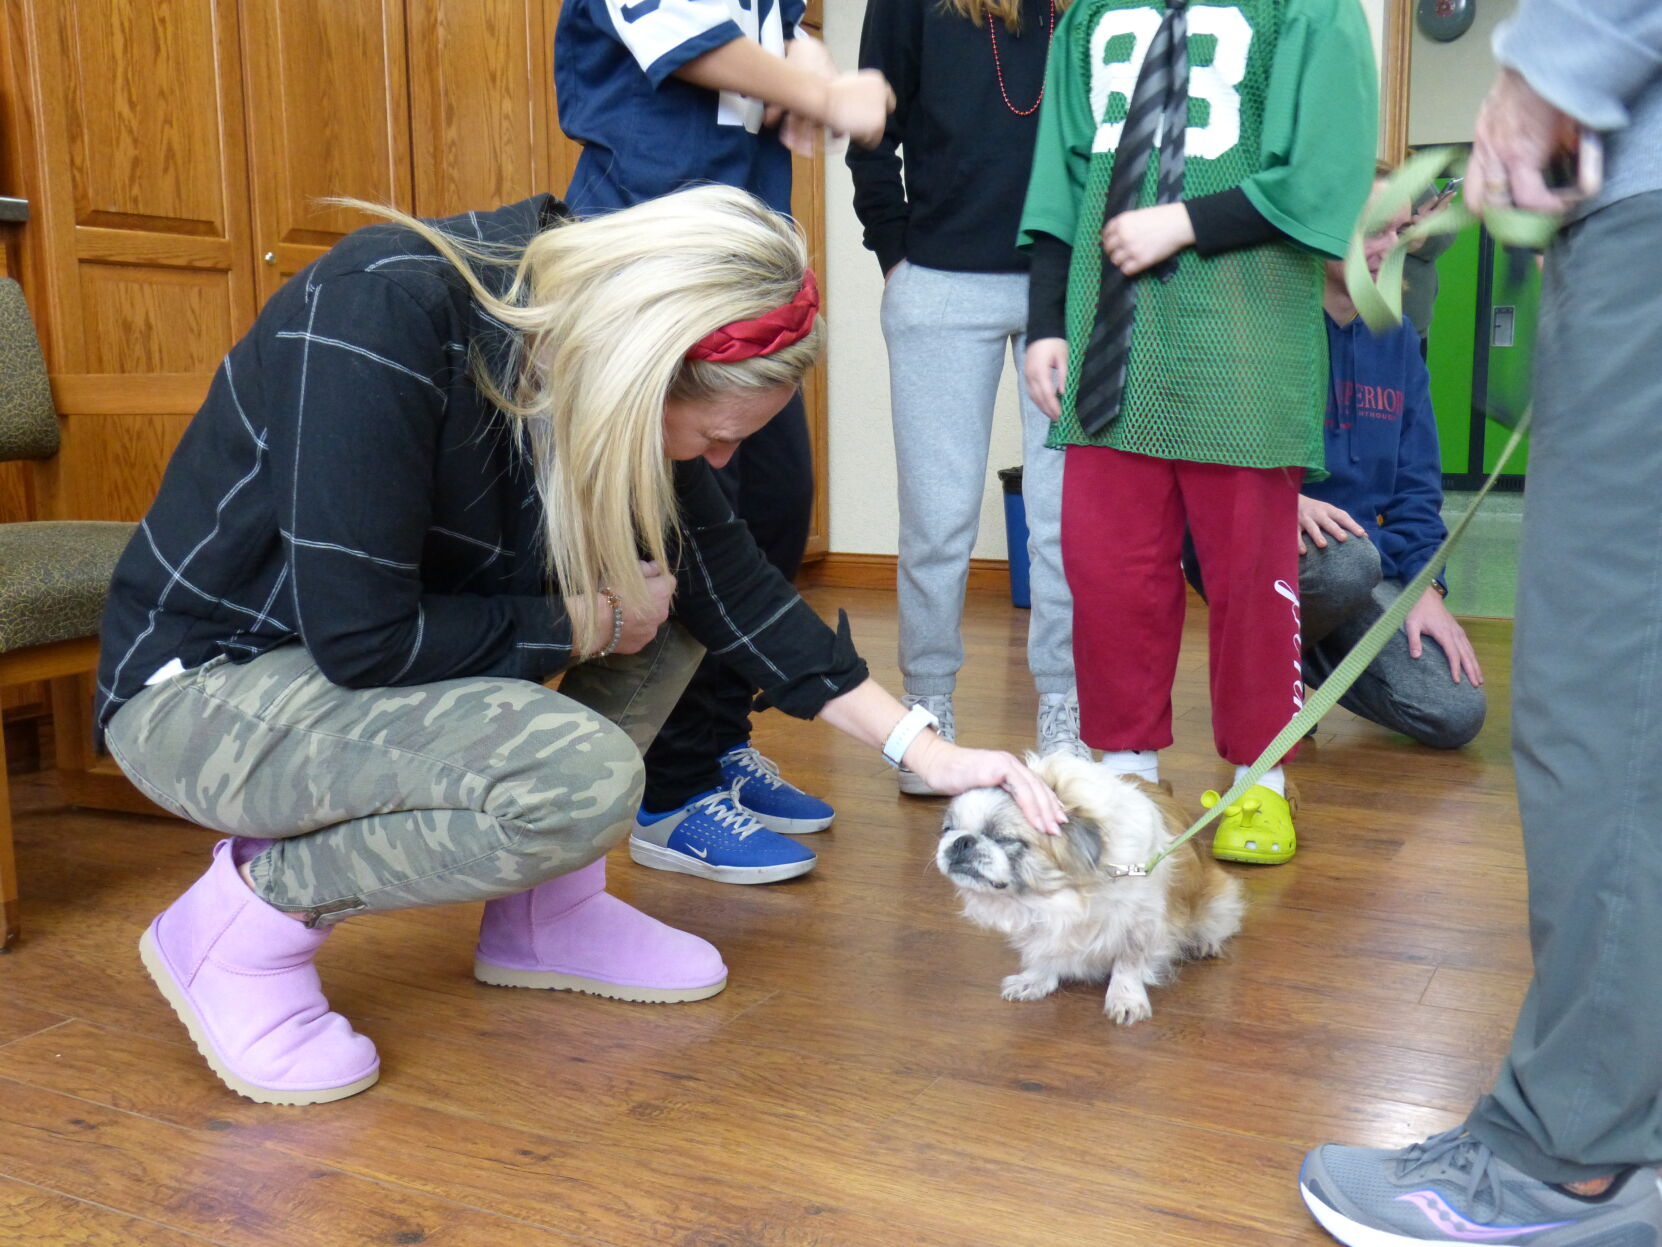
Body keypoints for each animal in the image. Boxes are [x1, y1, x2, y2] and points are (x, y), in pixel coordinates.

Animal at [944, 751, 1243, 1024]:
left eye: (1003, 839)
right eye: (947, 829)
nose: (961, 841)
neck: (1062, 897)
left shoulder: (1139, 923)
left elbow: (1128, 964)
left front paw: (1125, 998)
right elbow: (1043, 953)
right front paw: (1035, 981)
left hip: (1219, 897)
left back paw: (1203, 942)